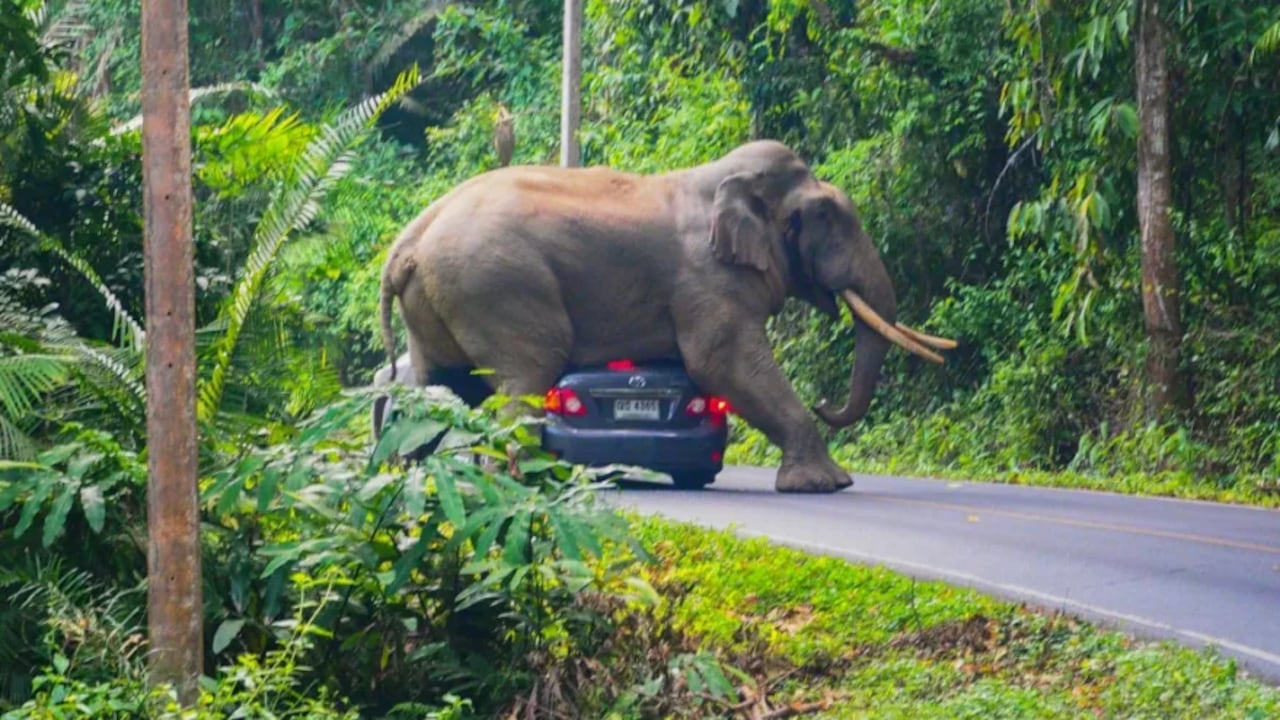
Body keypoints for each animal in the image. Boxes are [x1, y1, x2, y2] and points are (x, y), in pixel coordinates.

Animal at [377, 140, 955, 493]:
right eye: (830, 218)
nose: (826, 402)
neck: (724, 179)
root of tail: (406, 243)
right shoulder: (707, 279)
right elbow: (721, 364)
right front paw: (827, 485)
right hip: (498, 287)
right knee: (525, 374)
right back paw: (515, 481)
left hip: (440, 301)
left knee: (441, 384)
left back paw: (414, 476)